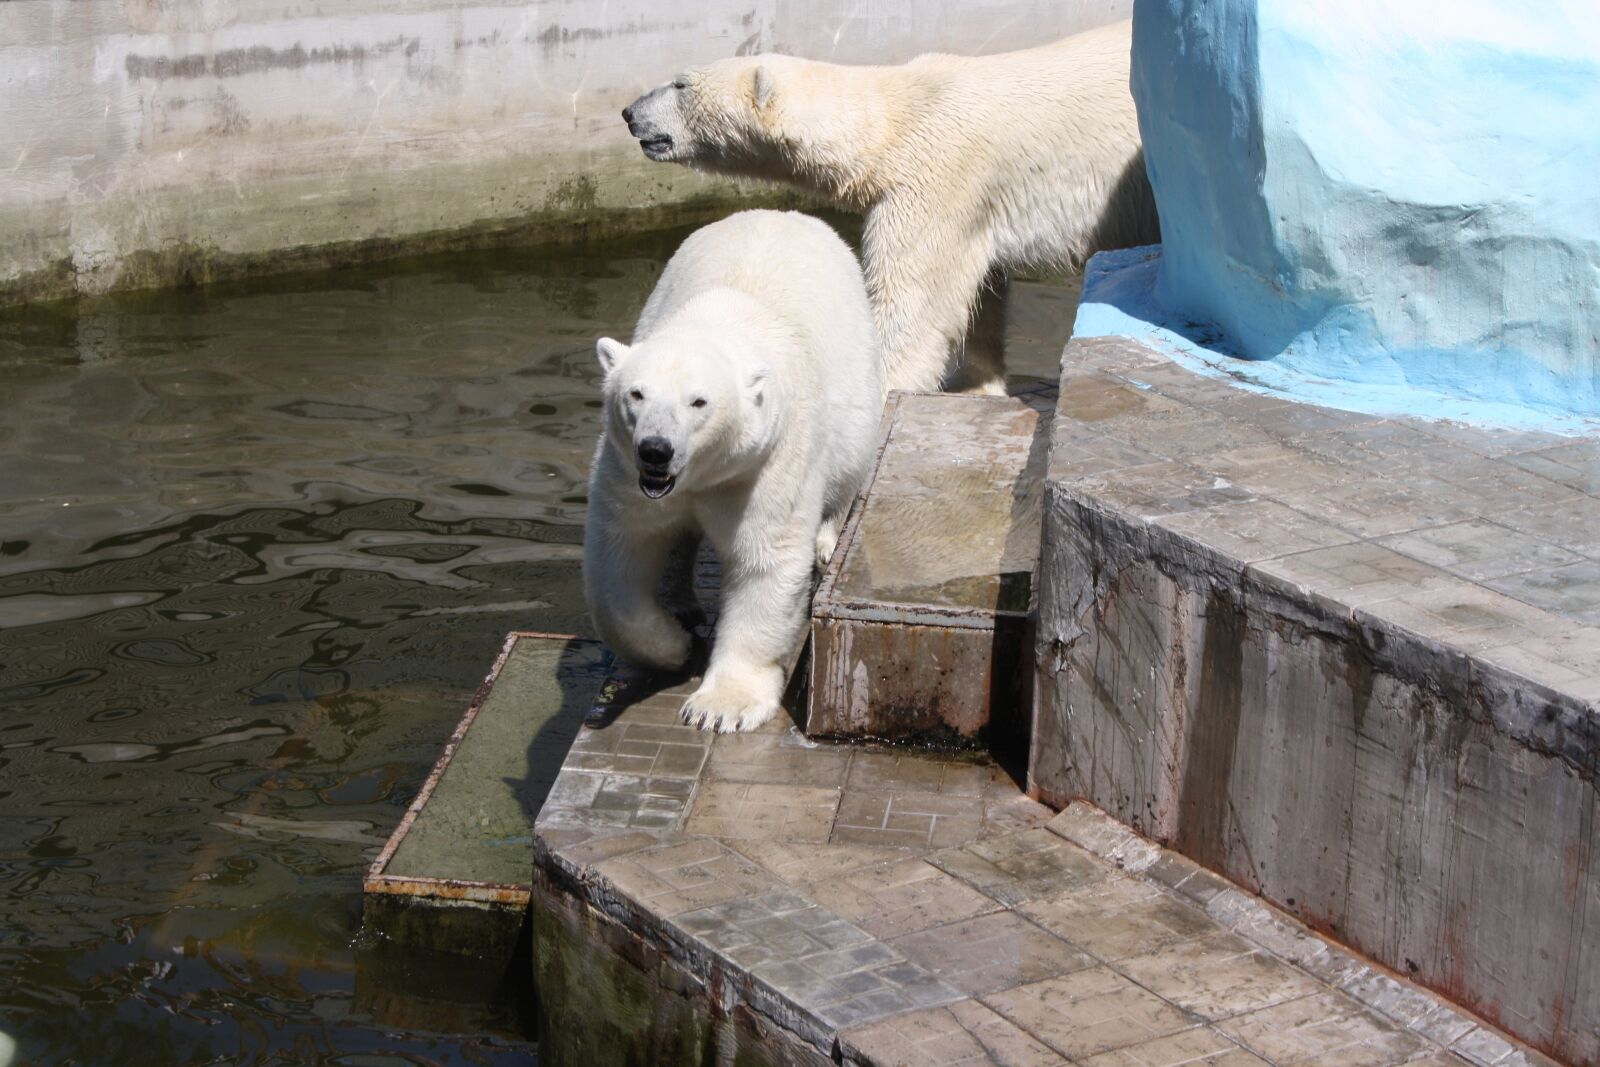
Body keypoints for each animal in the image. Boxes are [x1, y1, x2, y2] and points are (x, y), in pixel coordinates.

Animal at [583, 209, 884, 733]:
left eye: (698, 402)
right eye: (636, 394)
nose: (656, 450)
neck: (723, 319)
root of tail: (781, 213)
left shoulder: (767, 461)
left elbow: (765, 559)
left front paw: (721, 707)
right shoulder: (626, 471)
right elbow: (624, 550)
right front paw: (673, 646)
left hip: (856, 385)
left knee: (849, 462)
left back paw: (827, 540)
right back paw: (683, 603)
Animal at [622, 19, 1158, 397]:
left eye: (680, 85)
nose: (629, 113)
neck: (896, 118)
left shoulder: (936, 178)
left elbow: (914, 305)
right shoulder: (976, 204)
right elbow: (982, 295)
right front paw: (979, 385)